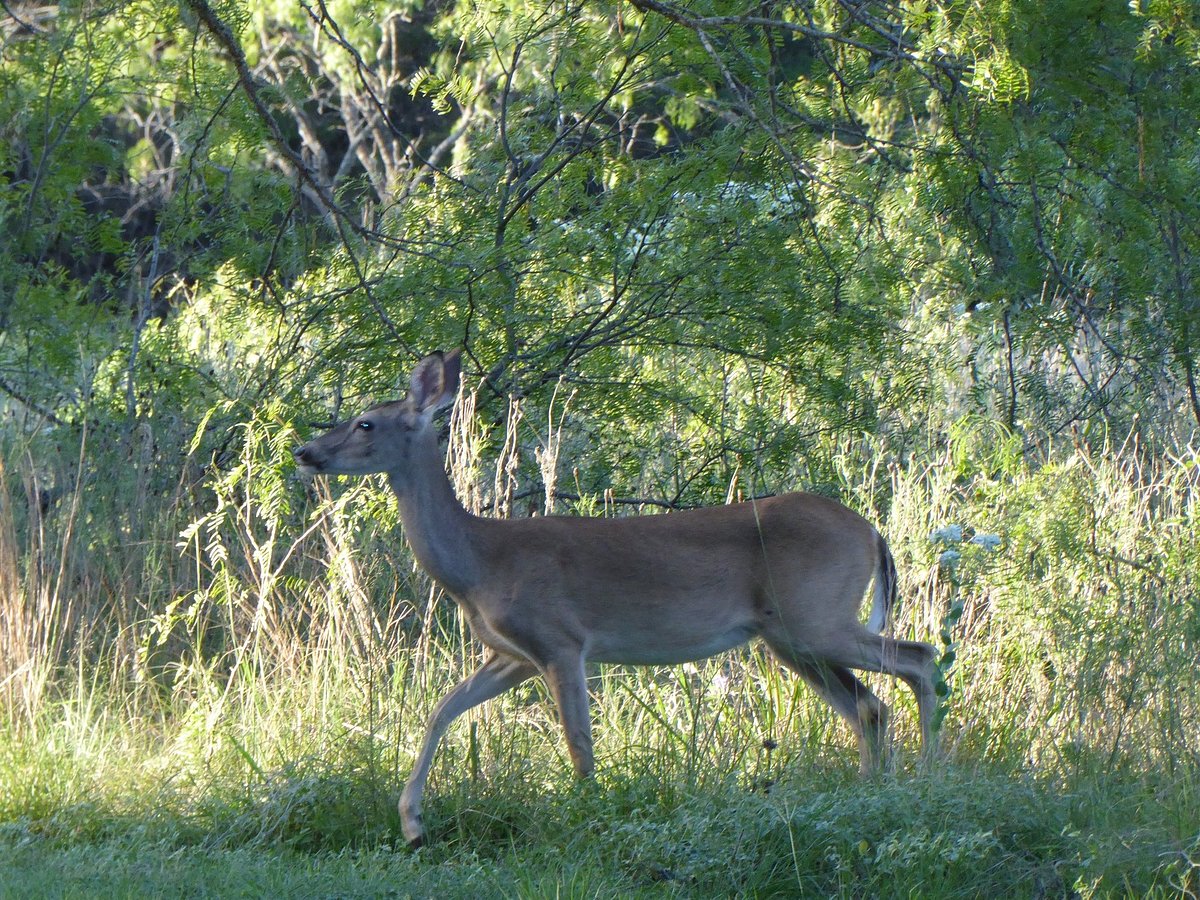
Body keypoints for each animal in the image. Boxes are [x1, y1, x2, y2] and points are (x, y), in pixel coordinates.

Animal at [295, 350, 940, 844]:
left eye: (366, 423)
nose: (305, 452)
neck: (480, 561)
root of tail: (872, 531)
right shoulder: (512, 654)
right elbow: (441, 711)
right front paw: (412, 825)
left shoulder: (560, 639)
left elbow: (578, 743)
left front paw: (591, 815)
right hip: (788, 636)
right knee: (869, 704)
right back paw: (873, 788)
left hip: (815, 617)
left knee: (919, 658)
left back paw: (930, 774)